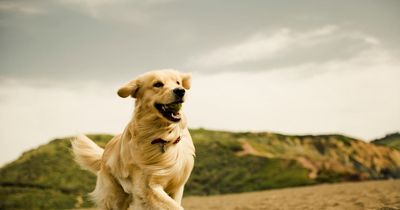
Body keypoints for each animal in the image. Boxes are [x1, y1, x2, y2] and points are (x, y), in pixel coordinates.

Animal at [72, 69, 196, 209]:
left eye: (178, 82)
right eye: (158, 84)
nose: (180, 91)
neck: (162, 136)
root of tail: (105, 151)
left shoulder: (177, 186)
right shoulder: (147, 187)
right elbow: (173, 206)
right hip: (114, 197)